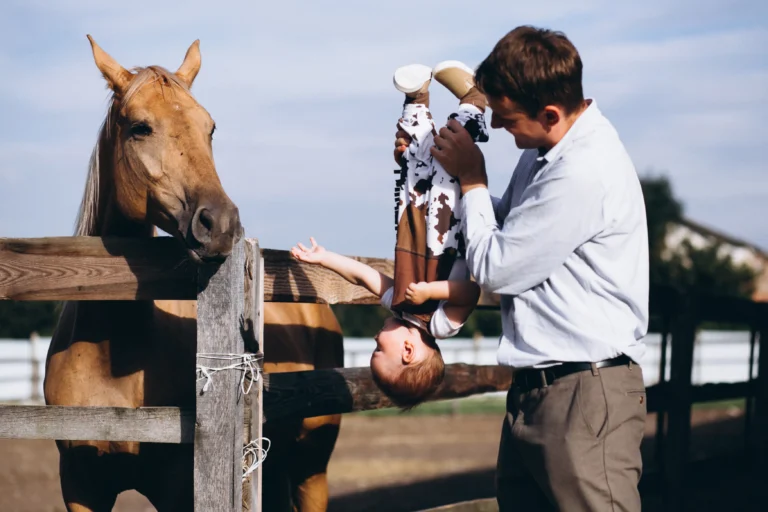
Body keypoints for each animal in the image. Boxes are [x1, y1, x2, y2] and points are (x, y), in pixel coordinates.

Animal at [44, 36, 344, 512]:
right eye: (140, 127)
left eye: (211, 128)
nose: (219, 223)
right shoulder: (80, 487)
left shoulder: (178, 489)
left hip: (312, 468)